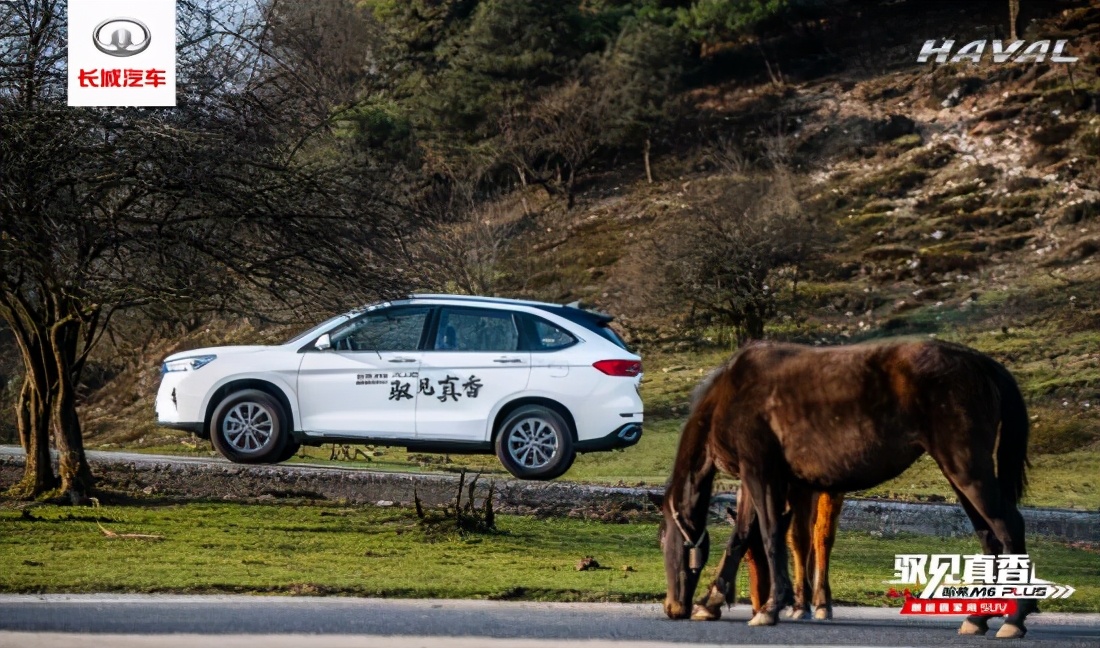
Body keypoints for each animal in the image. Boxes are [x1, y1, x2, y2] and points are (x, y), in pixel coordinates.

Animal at [660, 338, 1029, 638]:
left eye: (664, 540)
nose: (672, 607)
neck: (731, 391)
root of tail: (981, 362)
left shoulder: (760, 474)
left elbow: (770, 534)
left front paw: (770, 606)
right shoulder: (756, 481)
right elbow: (740, 537)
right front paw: (712, 600)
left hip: (967, 469)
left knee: (1009, 528)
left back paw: (1014, 619)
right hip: (959, 476)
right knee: (990, 538)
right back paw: (979, 617)